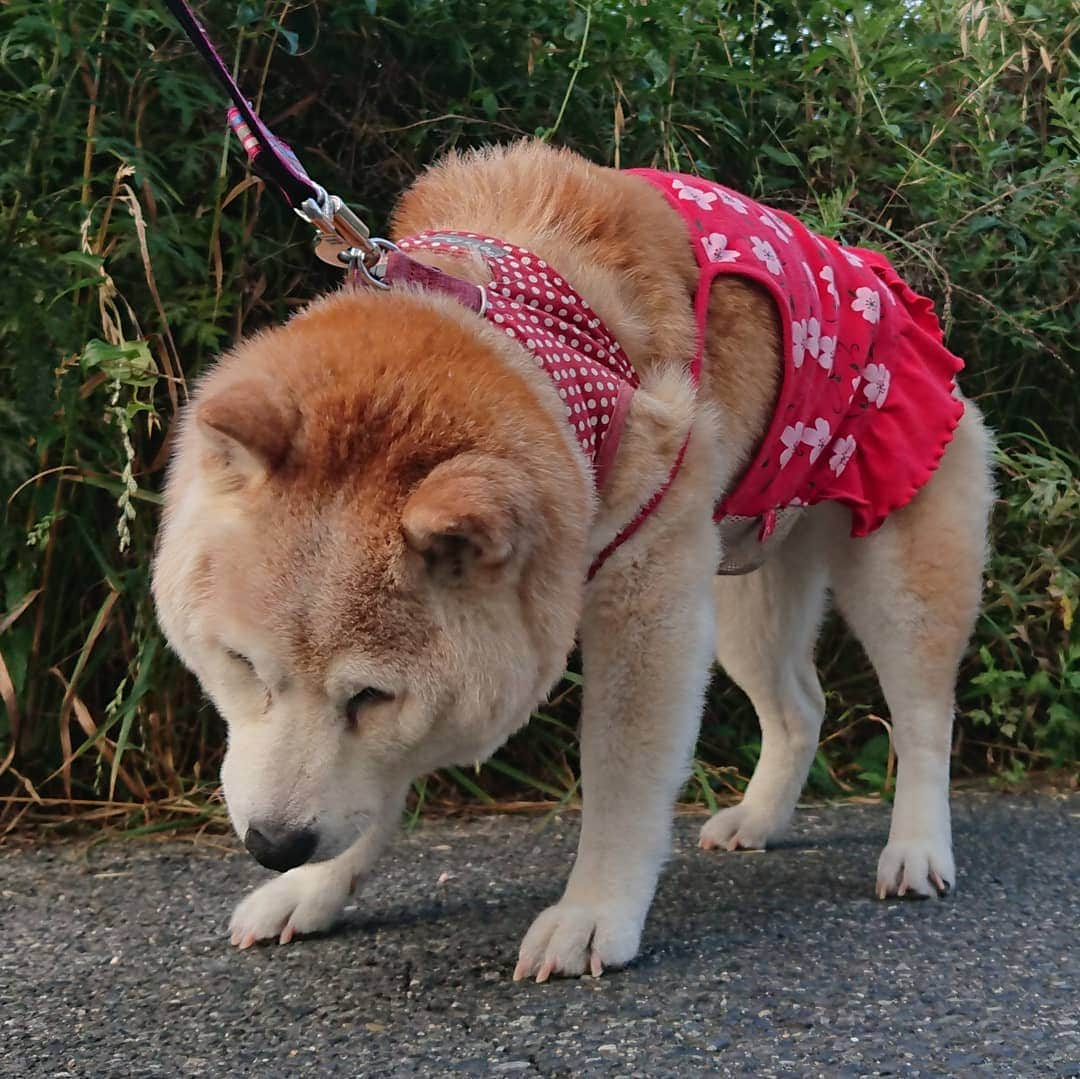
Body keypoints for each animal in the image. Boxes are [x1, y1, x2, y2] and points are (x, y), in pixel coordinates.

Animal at [154, 139, 993, 985]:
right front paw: (312, 888)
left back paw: (917, 849)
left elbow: (620, 775)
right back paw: (758, 818)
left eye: (371, 696)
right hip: (745, 588)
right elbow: (369, 790)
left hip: (899, 570)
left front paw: (593, 915)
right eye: (241, 665)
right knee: (800, 708)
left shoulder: (648, 598)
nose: (273, 844)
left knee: (924, 717)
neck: (528, 336)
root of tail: (892, 285)